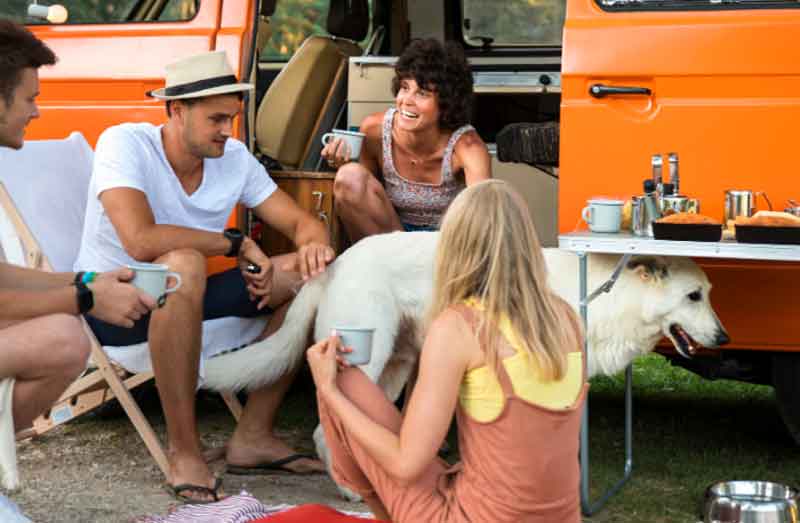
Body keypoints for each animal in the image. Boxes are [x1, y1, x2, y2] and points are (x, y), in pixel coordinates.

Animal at [205, 233, 724, 500]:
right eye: (692, 297)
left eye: (706, 294)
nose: (723, 339)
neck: (603, 298)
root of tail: (335, 261)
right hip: (367, 357)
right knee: (323, 429)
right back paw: (351, 493)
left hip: (395, 367)